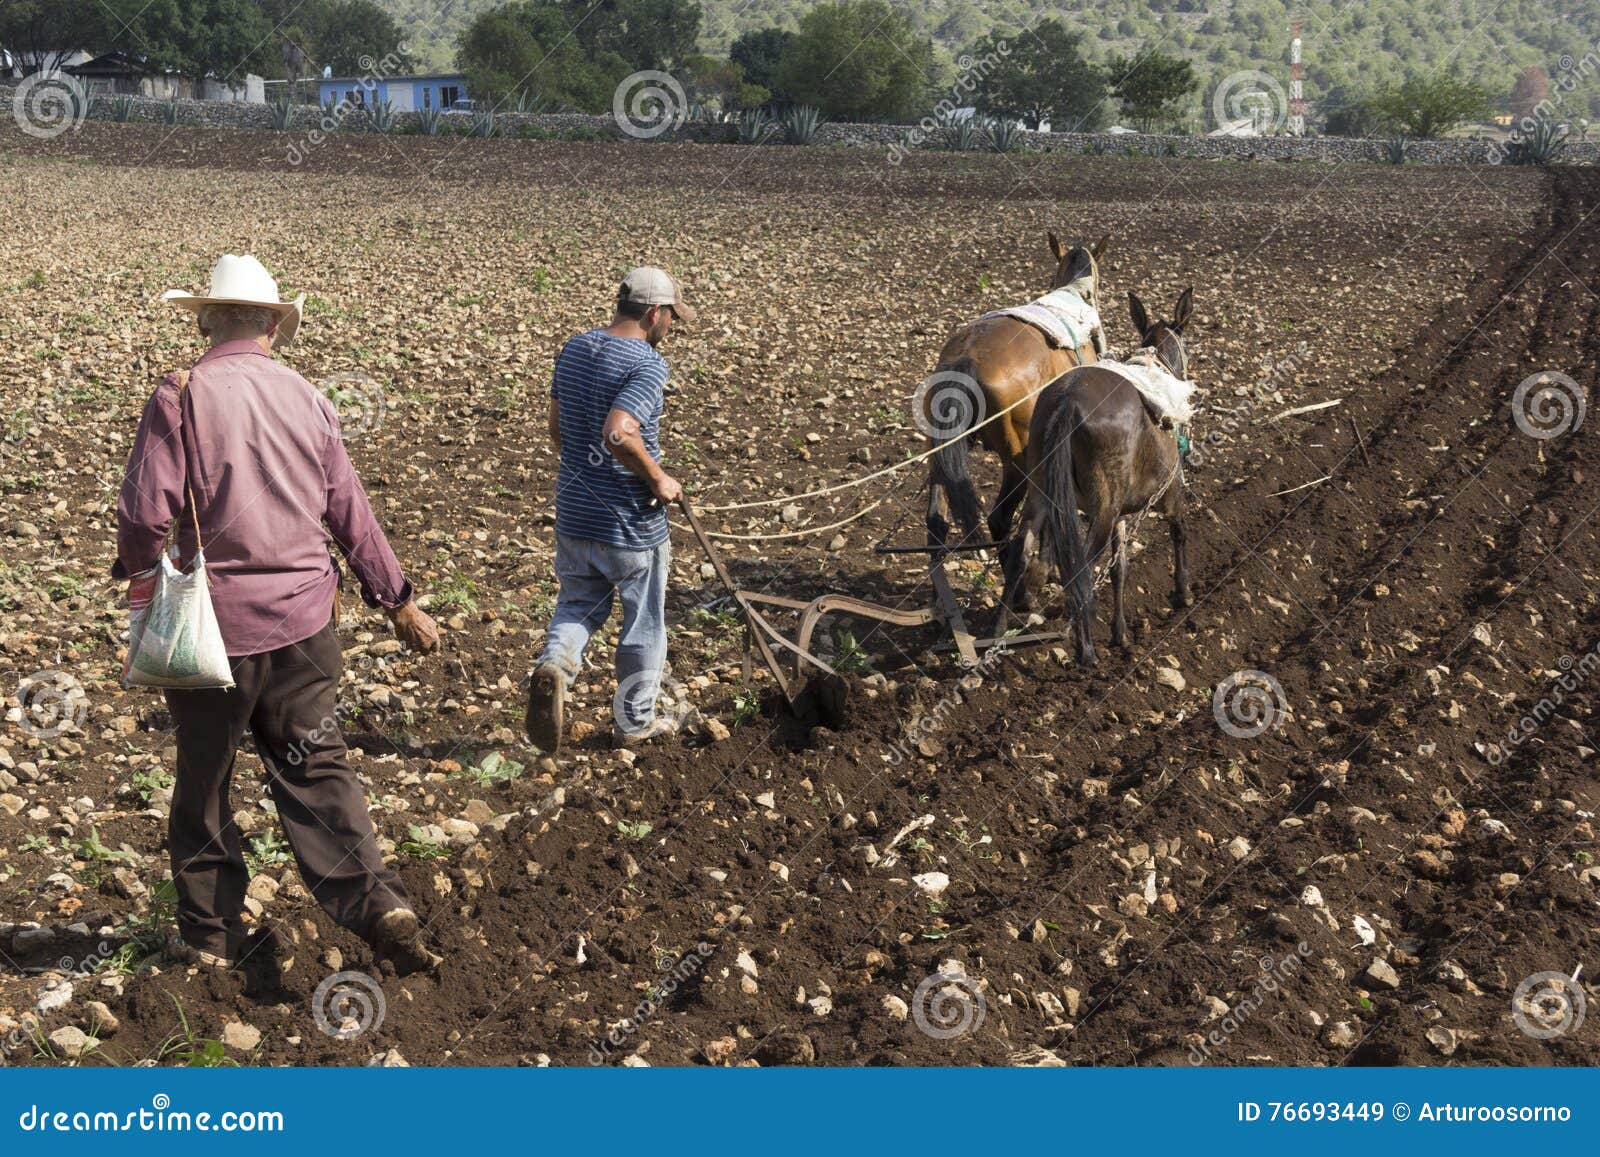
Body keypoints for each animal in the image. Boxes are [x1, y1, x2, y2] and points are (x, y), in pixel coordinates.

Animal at [921, 230, 1107, 556]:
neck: (1074, 293)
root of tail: (968, 358)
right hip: (1018, 461)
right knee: (999, 520)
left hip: (940, 453)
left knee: (936, 519)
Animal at [1004, 288, 1196, 668]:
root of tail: (1066, 400)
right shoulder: (1170, 490)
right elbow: (1178, 531)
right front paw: (1183, 591)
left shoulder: (1120, 512)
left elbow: (1120, 567)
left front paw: (1120, 633)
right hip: (1102, 509)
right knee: (1080, 570)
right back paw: (1086, 651)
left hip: (1041, 493)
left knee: (1021, 549)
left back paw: (996, 632)